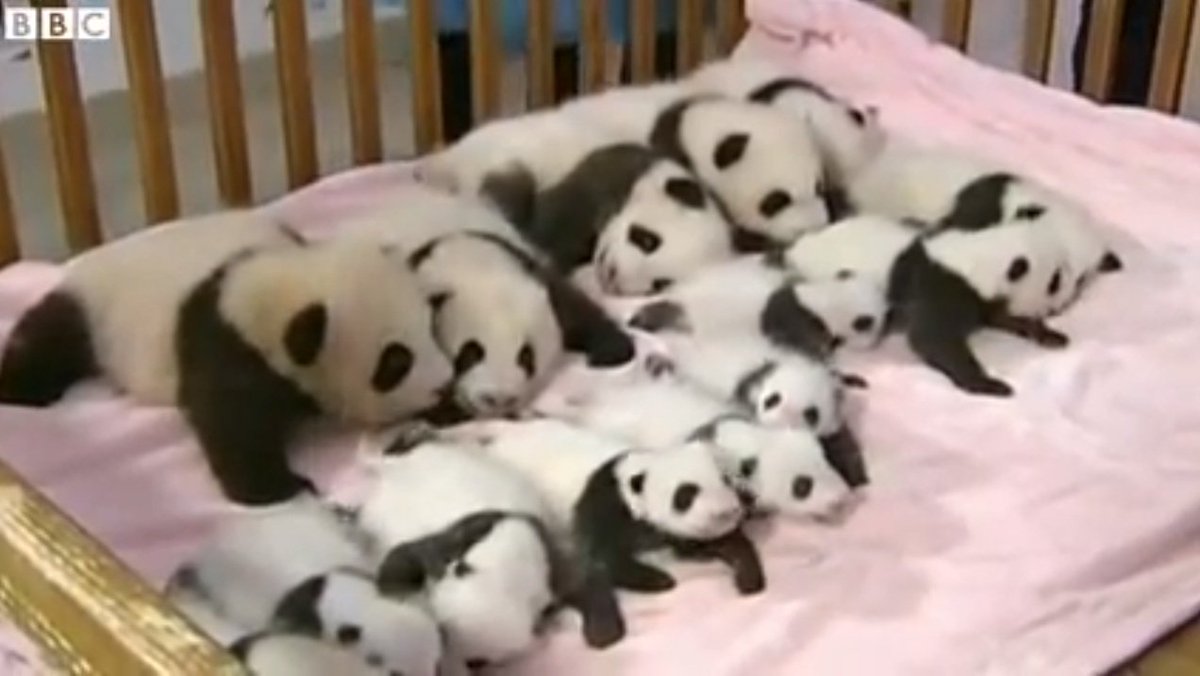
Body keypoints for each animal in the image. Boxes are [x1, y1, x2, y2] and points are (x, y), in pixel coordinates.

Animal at [0, 213, 455, 505]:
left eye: (432, 328)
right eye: (395, 363)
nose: (444, 384)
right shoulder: (226, 345)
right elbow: (231, 421)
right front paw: (283, 487)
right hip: (97, 312)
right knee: (51, 337)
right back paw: (22, 391)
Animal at [442, 417, 763, 648]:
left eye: (726, 479)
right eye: (685, 494)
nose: (727, 512)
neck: (635, 478)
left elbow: (712, 542)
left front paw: (748, 578)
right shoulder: (603, 506)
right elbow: (603, 558)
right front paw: (657, 580)